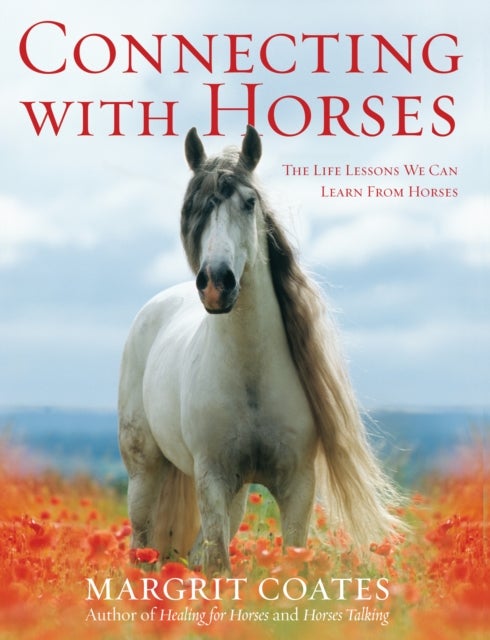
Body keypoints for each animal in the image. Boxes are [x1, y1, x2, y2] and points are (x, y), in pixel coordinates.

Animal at [118, 125, 401, 576]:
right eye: (193, 207)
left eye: (249, 203)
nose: (216, 284)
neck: (250, 374)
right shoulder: (212, 478)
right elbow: (220, 565)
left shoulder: (297, 485)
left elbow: (290, 558)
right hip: (145, 471)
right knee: (143, 544)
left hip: (234, 494)